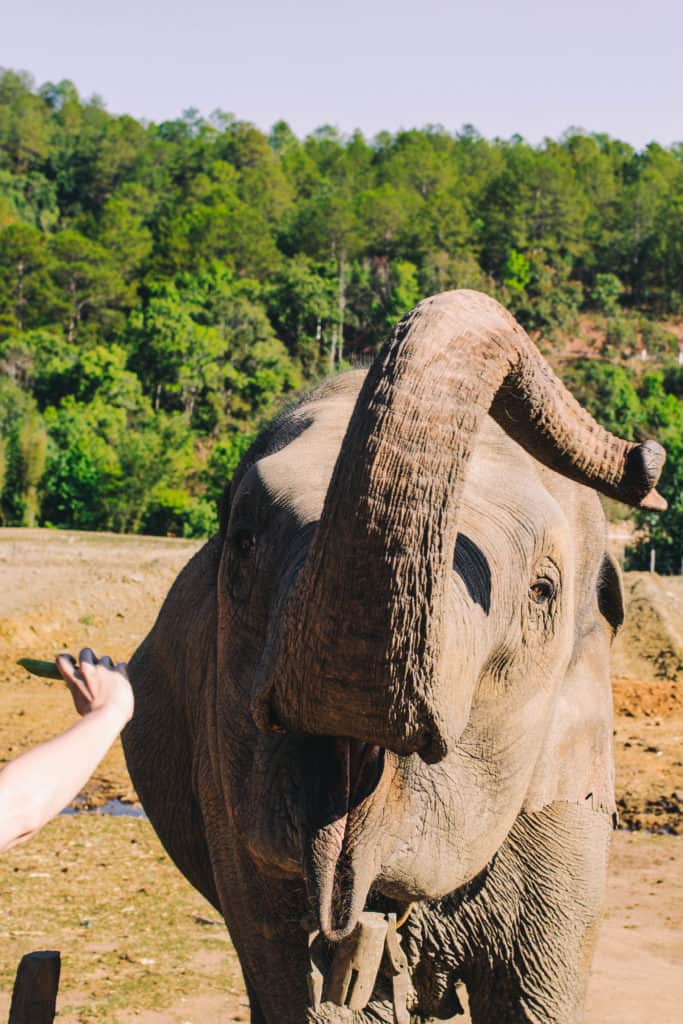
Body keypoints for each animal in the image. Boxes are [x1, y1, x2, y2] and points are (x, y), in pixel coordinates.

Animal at [124, 290, 667, 1024]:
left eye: (542, 590)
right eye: (241, 543)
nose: (650, 458)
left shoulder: (567, 805)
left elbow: (533, 998)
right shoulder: (228, 797)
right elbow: (308, 994)